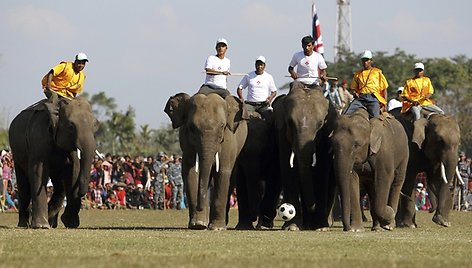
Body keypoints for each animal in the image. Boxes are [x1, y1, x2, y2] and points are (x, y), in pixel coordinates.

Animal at [8, 97, 96, 229]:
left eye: (95, 125)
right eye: (70, 126)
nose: (81, 193)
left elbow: (73, 170)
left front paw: (70, 224)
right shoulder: (38, 138)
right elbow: (38, 171)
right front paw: (41, 226)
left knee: (60, 187)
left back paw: (52, 222)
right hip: (16, 153)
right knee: (23, 184)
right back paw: (24, 224)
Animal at [165, 92, 249, 230]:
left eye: (222, 126)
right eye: (191, 128)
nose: (199, 207)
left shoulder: (228, 140)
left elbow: (223, 172)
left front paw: (216, 228)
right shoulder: (186, 142)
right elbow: (191, 172)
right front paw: (198, 225)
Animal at [272, 81, 338, 230]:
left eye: (320, 124)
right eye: (290, 123)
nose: (312, 208)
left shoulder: (325, 135)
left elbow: (321, 171)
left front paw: (321, 227)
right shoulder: (281, 133)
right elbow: (288, 169)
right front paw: (292, 227)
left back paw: (325, 223)